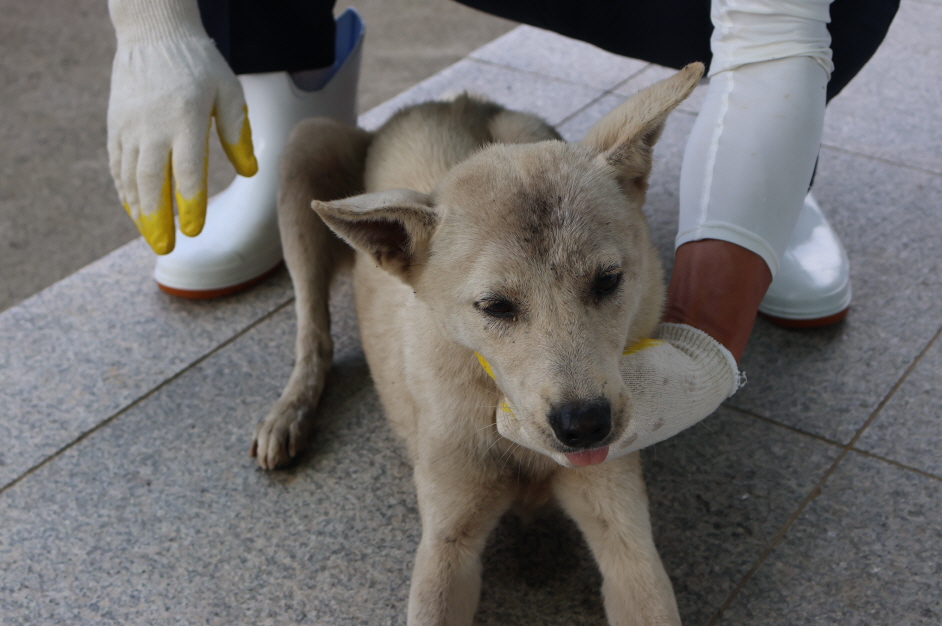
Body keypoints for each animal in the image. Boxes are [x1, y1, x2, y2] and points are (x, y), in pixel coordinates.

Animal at [249, 63, 700, 624]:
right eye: (495, 307)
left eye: (609, 280)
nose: (585, 426)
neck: (504, 414)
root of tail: (446, 100)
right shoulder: (447, 542)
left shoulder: (626, 535)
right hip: (306, 146)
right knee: (313, 331)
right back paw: (288, 412)